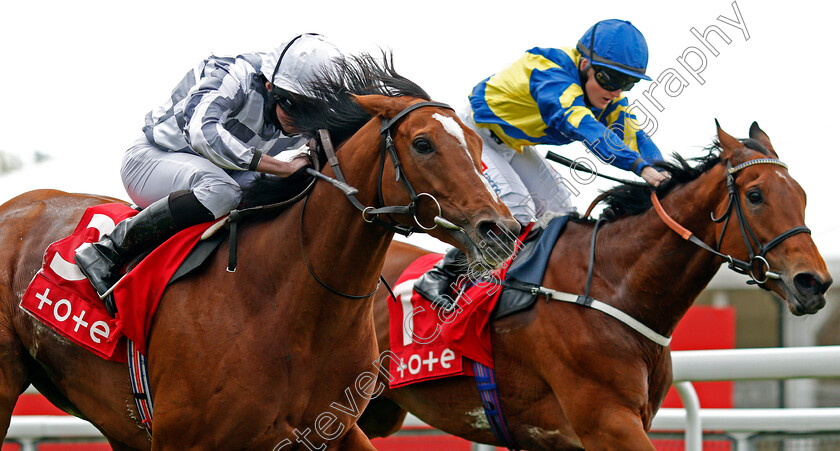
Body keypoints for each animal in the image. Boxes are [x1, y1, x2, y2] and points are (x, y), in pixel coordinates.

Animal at [0, 54, 520, 450]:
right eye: (423, 143)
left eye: (478, 145)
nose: (501, 229)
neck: (287, 304)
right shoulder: (182, 437)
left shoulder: (333, 428)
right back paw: (98, 260)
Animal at [358, 122, 832, 450]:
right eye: (755, 196)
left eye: (803, 195)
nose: (814, 283)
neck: (612, 286)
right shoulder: (607, 421)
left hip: (377, 410)